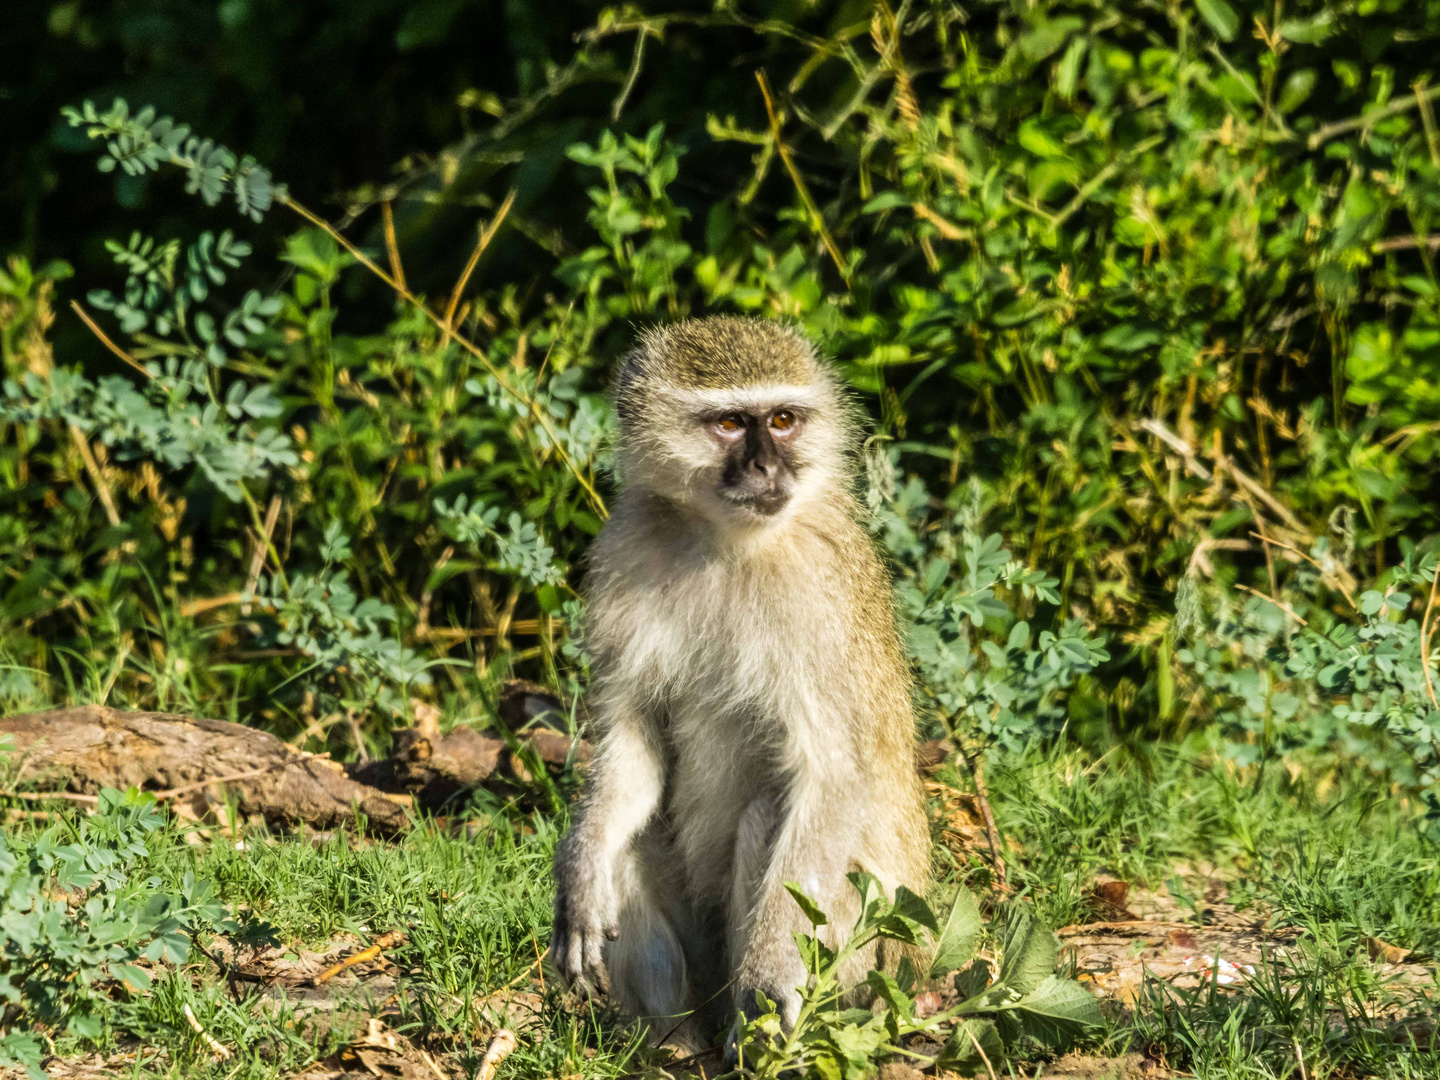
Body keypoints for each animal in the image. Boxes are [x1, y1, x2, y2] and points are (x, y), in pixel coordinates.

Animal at [550, 316, 933, 1054]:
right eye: (730, 424)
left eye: (782, 420)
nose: (767, 469)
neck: (724, 542)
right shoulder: (627, 550)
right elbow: (634, 734)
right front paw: (578, 876)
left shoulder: (816, 599)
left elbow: (833, 773)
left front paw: (769, 977)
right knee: (637, 839)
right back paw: (673, 1044)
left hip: (863, 956)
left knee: (767, 816)